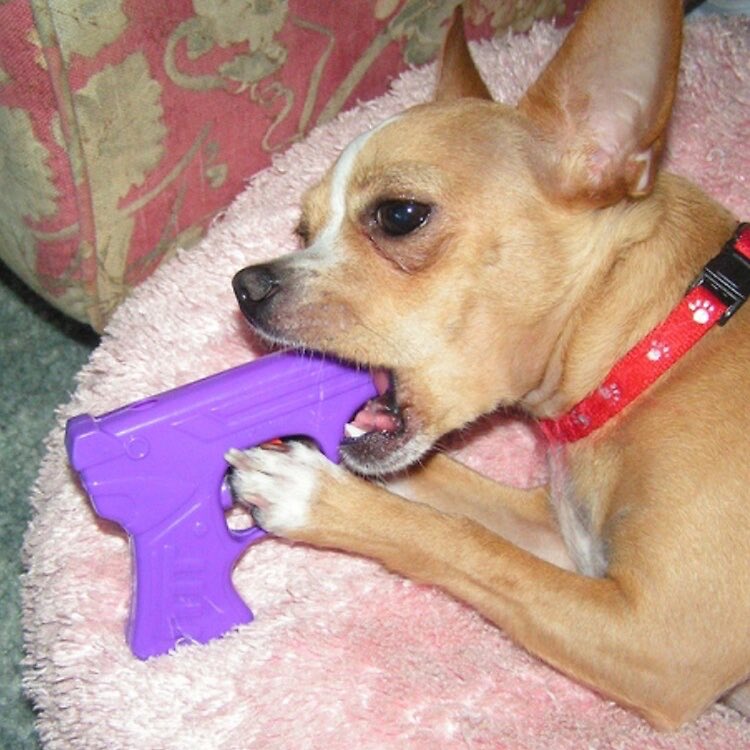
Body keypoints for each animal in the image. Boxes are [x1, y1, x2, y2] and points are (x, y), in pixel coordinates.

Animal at [227, 0, 750, 729]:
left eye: (399, 215)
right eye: (302, 231)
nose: (245, 286)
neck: (660, 346)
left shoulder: (660, 641)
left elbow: (463, 543)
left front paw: (320, 495)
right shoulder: (568, 548)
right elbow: (456, 494)